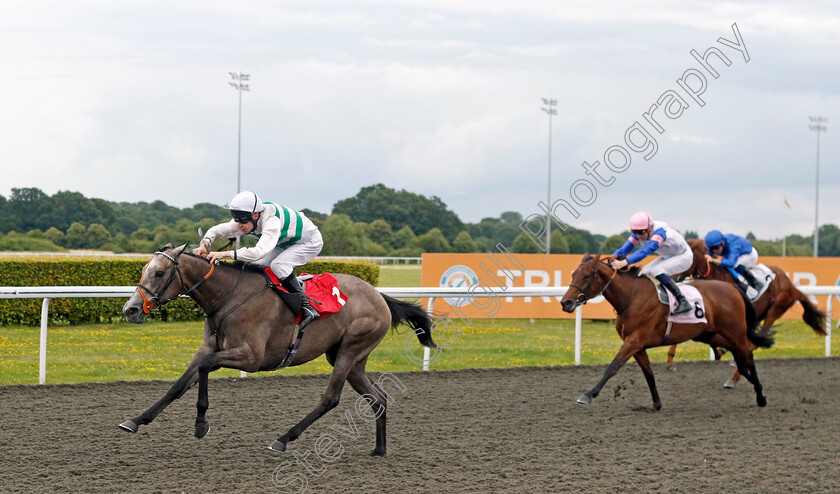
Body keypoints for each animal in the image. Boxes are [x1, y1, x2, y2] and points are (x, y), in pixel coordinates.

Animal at [121, 243, 436, 456]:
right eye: (143, 270)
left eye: (159, 273)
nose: (130, 310)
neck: (228, 297)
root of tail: (380, 296)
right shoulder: (209, 347)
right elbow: (180, 384)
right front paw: (136, 420)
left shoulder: (251, 357)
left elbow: (206, 366)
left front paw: (201, 424)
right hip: (349, 358)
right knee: (378, 398)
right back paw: (379, 449)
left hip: (350, 350)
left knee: (331, 398)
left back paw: (283, 439)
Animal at [560, 255, 772, 410]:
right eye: (573, 274)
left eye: (587, 276)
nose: (565, 303)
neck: (632, 297)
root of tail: (732, 287)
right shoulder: (638, 346)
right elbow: (648, 373)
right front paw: (656, 403)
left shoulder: (633, 341)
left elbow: (612, 367)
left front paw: (588, 394)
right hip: (711, 335)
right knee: (742, 362)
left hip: (735, 333)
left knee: (748, 355)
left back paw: (760, 396)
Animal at [668, 239, 828, 386]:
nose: (669, 276)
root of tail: (791, 285)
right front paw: (670, 361)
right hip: (757, 315)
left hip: (774, 310)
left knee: (754, 342)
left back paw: (734, 378)